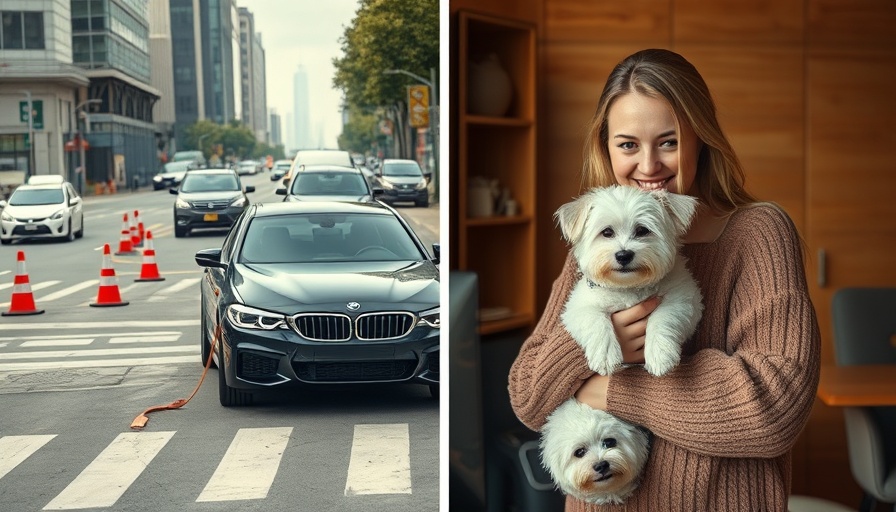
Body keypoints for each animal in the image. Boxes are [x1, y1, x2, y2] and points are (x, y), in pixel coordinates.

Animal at [540, 185, 708, 504]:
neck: (628, 289)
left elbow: (663, 318)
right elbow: (597, 321)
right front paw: (606, 354)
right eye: (606, 232)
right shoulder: (578, 308)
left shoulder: (683, 298)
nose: (623, 254)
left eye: (642, 230)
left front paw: (660, 354)